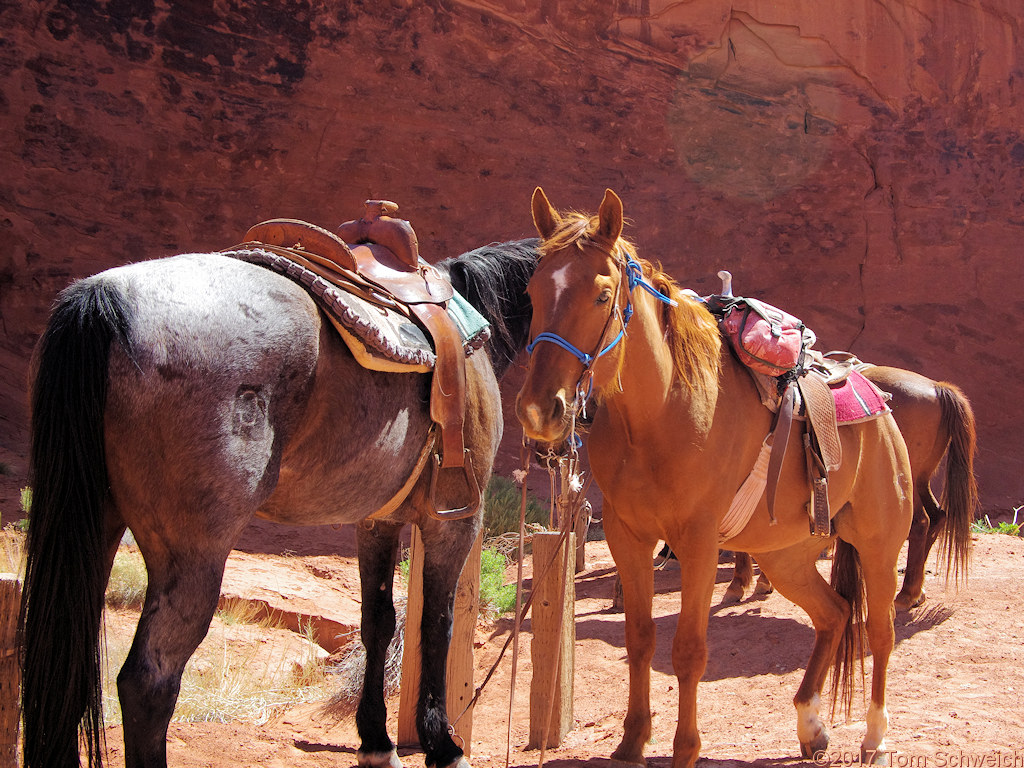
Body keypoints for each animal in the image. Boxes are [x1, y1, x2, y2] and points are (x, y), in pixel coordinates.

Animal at [19, 237, 540, 765]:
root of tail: (103, 299)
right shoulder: (453, 521)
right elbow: (438, 623)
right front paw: (442, 743)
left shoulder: (377, 521)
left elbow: (378, 622)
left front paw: (376, 740)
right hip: (192, 556)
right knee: (148, 684)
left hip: (96, 529)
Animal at [520, 188, 913, 768]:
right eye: (532, 291)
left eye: (601, 295)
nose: (539, 410)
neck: (661, 414)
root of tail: (875, 398)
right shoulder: (627, 537)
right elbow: (639, 639)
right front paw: (632, 742)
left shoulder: (699, 544)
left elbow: (688, 651)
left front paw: (685, 749)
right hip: (786, 555)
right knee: (835, 615)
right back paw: (811, 724)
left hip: (880, 545)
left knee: (880, 632)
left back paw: (875, 736)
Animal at [729, 368, 974, 614]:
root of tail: (937, 387)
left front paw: (741, 582)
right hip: (921, 479)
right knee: (937, 517)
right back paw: (916, 590)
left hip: (904, 479)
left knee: (921, 522)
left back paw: (906, 594)